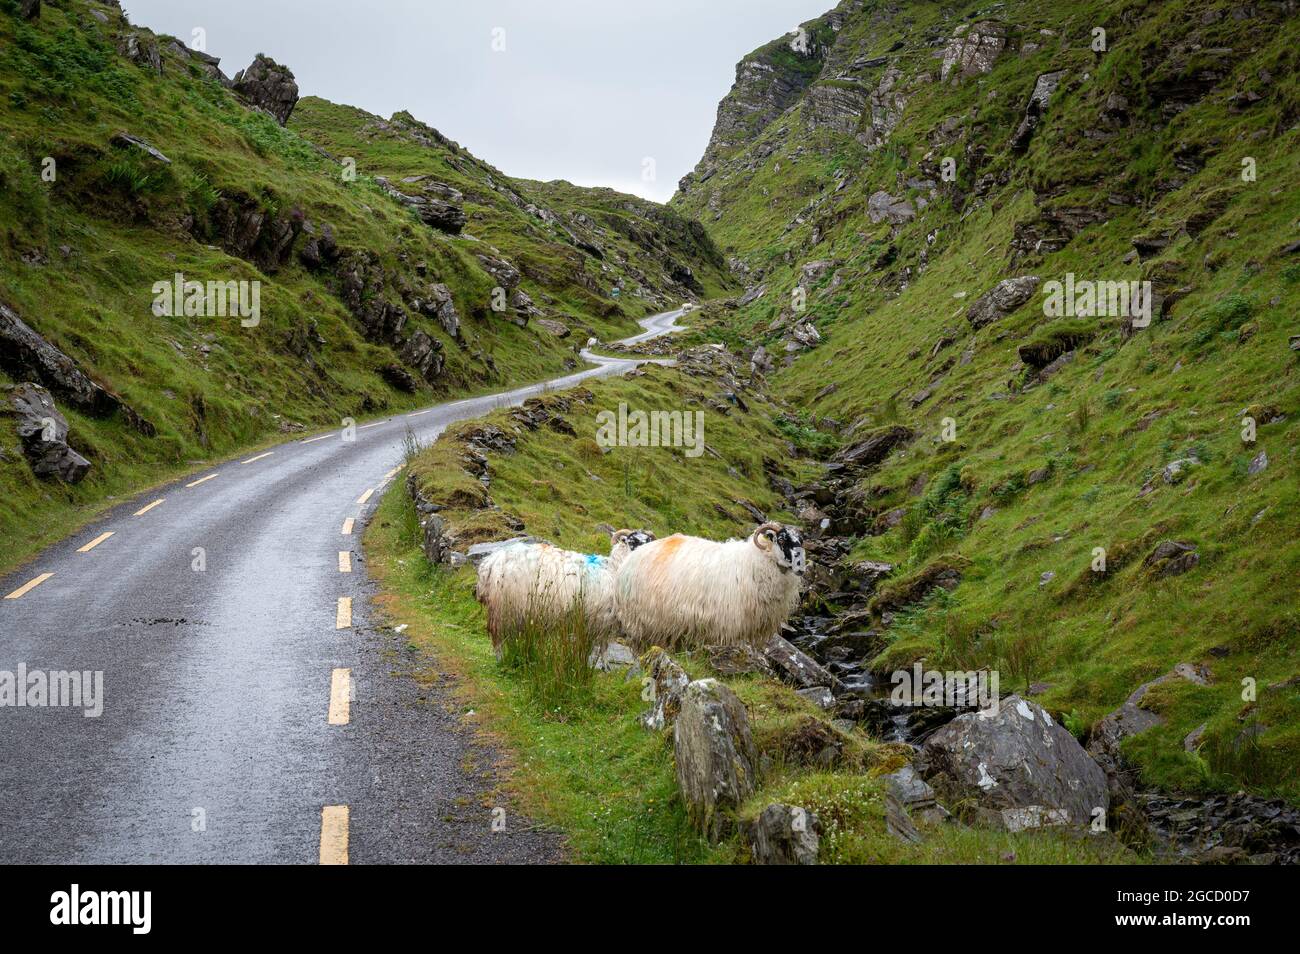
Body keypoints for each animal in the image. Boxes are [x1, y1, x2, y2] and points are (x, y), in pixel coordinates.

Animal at [475, 529, 656, 655]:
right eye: (632, 541)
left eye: (648, 541)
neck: (613, 569)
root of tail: (490, 562)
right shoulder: (598, 618)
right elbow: (596, 647)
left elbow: (601, 647)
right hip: (504, 606)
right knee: (497, 634)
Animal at [614, 521, 806, 652]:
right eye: (781, 540)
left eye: (801, 541)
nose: (801, 567)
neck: (756, 561)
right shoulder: (725, 621)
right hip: (639, 616)